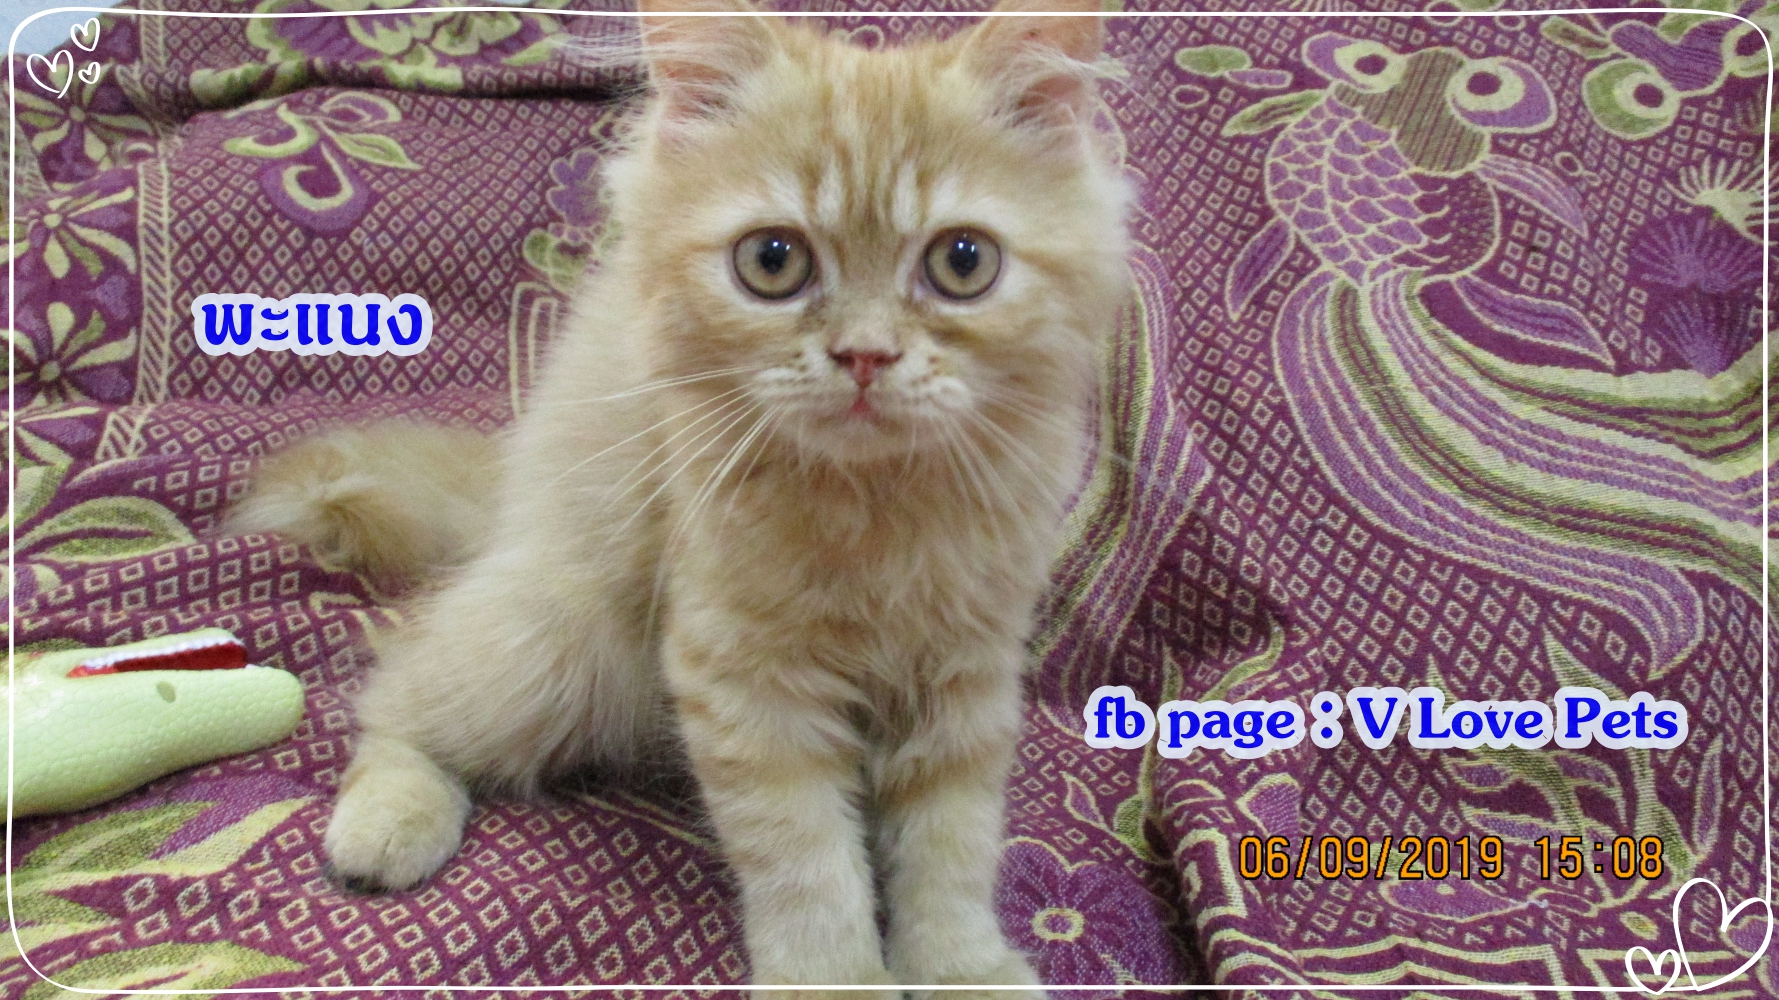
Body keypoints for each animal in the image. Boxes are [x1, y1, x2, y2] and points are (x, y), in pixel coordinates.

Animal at [227, 0, 1131, 994]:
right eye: (772, 261)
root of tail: (508, 502)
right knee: (396, 697)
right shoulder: (743, 673)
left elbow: (951, 846)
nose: (864, 356)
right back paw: (386, 824)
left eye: (963, 262)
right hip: (556, 641)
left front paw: (960, 966)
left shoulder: (968, 669)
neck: (876, 510)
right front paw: (834, 978)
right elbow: (805, 860)